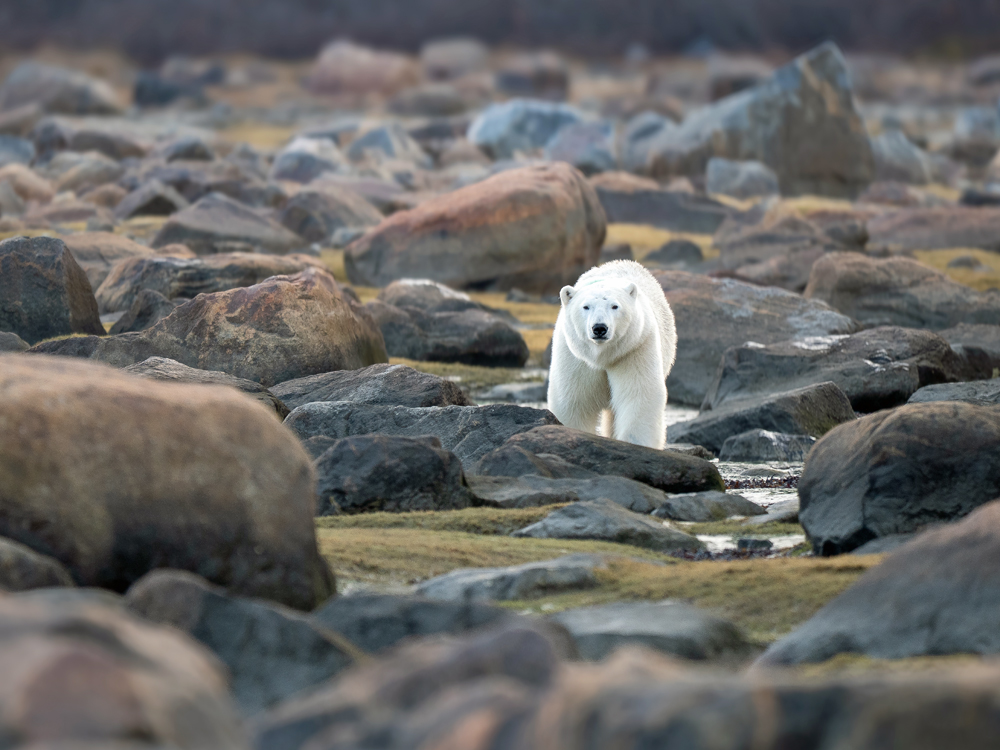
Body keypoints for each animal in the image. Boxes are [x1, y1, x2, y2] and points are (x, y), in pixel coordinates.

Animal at [547, 260, 677, 449]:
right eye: (586, 306)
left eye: (615, 306)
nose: (599, 328)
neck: (602, 356)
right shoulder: (576, 356)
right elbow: (573, 400)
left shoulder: (634, 349)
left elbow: (638, 395)